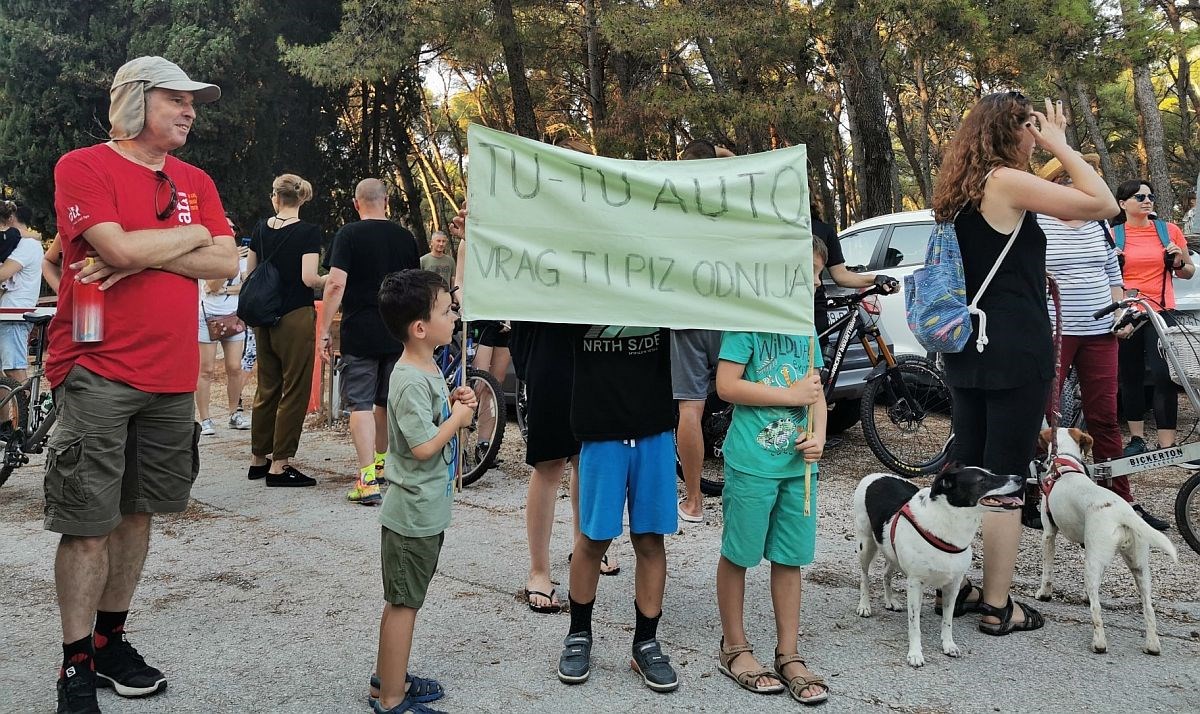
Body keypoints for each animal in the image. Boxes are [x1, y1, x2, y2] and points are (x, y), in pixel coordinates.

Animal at [854, 465, 1022, 667]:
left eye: (992, 472)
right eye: (982, 479)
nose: (1020, 478)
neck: (949, 527)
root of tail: (876, 474)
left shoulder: (953, 586)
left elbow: (947, 621)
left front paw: (948, 645)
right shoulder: (914, 584)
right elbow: (914, 624)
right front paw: (915, 653)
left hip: (891, 551)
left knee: (887, 573)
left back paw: (890, 600)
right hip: (865, 544)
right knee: (864, 577)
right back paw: (864, 605)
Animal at [1032, 427, 1180, 657]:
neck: (1065, 466)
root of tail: (1123, 512)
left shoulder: (1048, 534)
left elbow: (1047, 572)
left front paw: (1044, 594)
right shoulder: (1088, 547)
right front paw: (1085, 595)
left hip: (1093, 564)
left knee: (1097, 609)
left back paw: (1099, 643)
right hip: (1139, 567)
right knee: (1148, 607)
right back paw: (1152, 645)